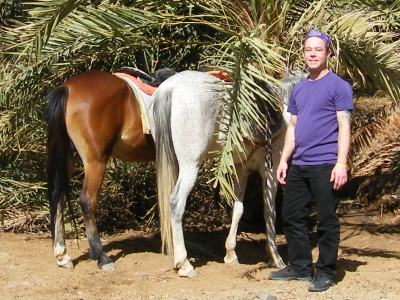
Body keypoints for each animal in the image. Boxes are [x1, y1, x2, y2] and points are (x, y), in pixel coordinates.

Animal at [45, 69, 173, 270]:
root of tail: (68, 87)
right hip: (95, 161)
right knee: (86, 201)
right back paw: (102, 257)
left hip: (68, 157)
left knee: (59, 197)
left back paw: (63, 256)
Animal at [151, 70, 304, 276]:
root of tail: (171, 87)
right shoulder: (271, 170)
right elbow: (269, 211)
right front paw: (275, 257)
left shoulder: (241, 170)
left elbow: (238, 209)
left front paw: (231, 254)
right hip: (190, 166)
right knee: (176, 203)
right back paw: (184, 264)